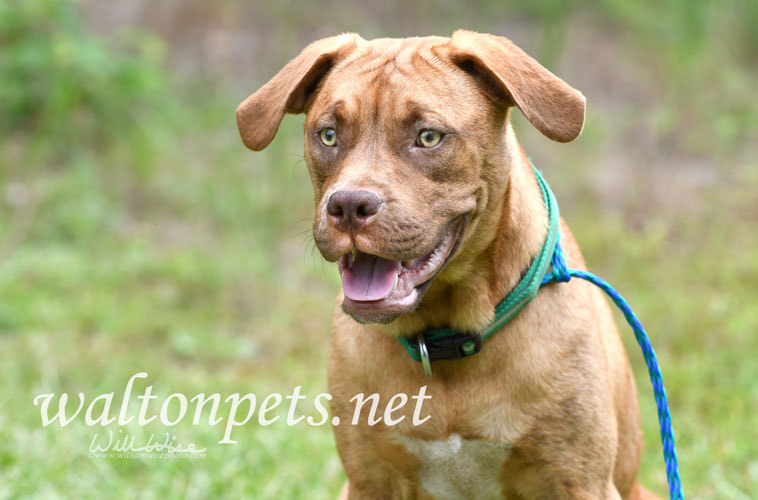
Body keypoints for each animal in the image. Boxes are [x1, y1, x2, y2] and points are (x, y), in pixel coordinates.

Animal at [236, 30, 660, 500]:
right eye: (328, 135)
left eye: (428, 137)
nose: (347, 206)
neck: (446, 336)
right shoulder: (369, 480)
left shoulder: (578, 480)